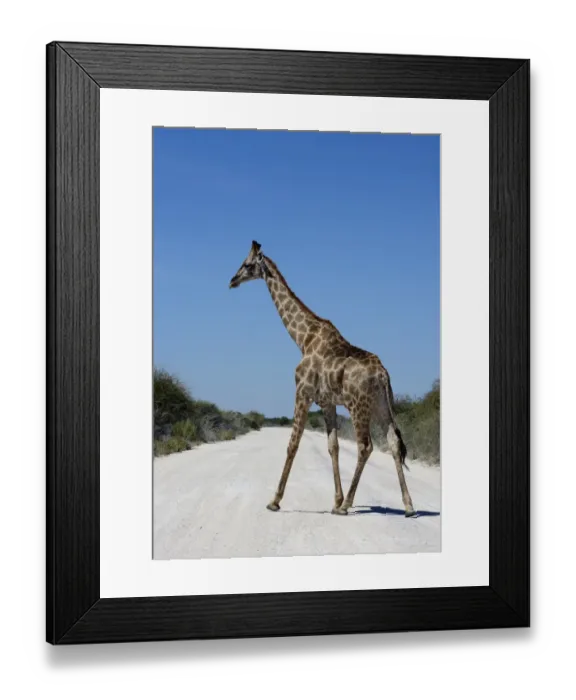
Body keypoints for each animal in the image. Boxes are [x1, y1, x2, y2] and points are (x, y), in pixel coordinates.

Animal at [229, 241, 416, 517]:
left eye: (247, 264)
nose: (232, 280)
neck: (302, 338)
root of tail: (383, 374)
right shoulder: (327, 402)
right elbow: (333, 447)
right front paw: (335, 500)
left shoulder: (302, 393)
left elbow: (293, 444)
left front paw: (275, 500)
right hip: (382, 404)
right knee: (393, 443)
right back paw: (408, 506)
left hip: (359, 406)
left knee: (366, 446)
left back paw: (348, 505)